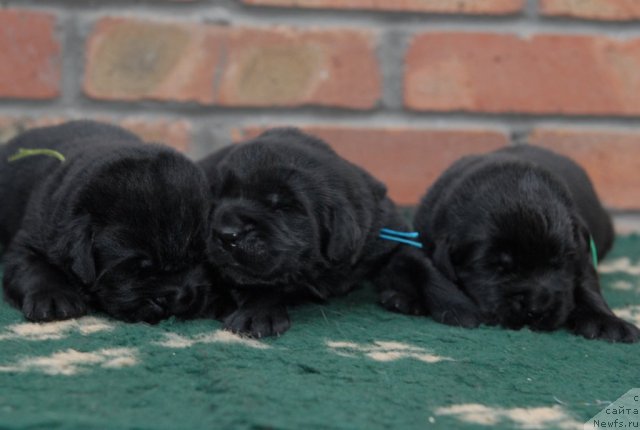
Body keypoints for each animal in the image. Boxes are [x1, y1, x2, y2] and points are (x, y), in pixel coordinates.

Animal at [0, 120, 228, 322]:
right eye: (135, 267)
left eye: (198, 259)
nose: (179, 297)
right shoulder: (34, 238)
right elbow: (33, 267)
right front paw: (53, 298)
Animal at [200, 129, 430, 338]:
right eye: (217, 198)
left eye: (281, 206)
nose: (227, 234)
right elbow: (261, 283)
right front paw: (256, 314)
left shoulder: (385, 232)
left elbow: (402, 259)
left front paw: (409, 295)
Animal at [410, 144, 640, 342]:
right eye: (498, 266)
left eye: (558, 263)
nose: (537, 308)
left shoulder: (582, 249)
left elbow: (586, 282)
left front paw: (606, 322)